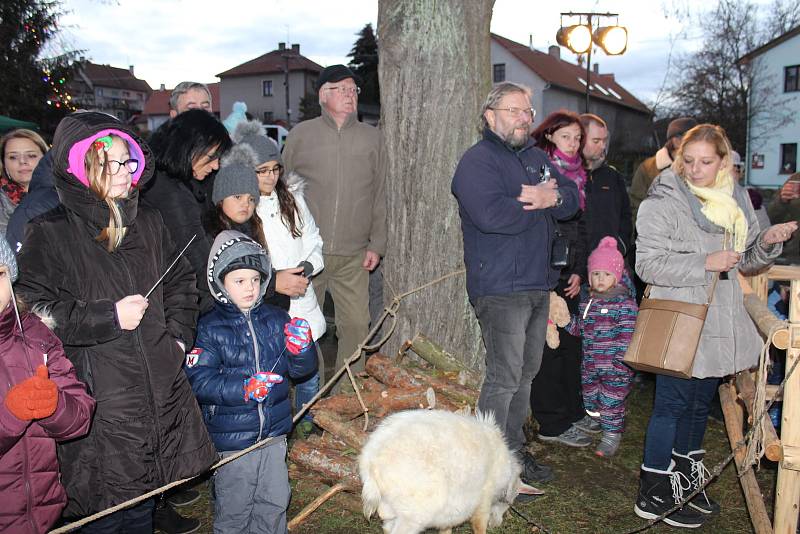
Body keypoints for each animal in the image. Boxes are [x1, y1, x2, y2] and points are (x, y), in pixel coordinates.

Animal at [360, 412, 520, 532]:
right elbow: (479, 524)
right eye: (510, 501)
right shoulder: (484, 498)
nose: (497, 524)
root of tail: (371, 461)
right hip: (414, 513)